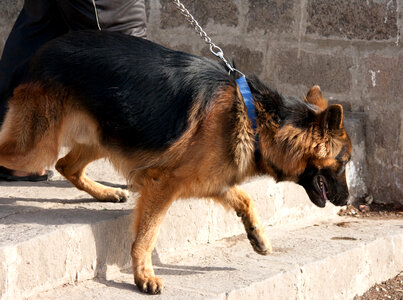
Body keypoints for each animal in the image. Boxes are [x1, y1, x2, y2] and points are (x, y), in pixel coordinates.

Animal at [0, 30, 350, 292]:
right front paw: (143, 275)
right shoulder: (162, 185)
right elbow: (147, 235)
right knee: (34, 158)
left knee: (66, 166)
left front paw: (258, 236)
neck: (255, 117)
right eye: (345, 162)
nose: (347, 201)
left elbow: (245, 199)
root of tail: (42, 52)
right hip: (37, 149)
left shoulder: (211, 180)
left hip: (104, 135)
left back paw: (107, 192)